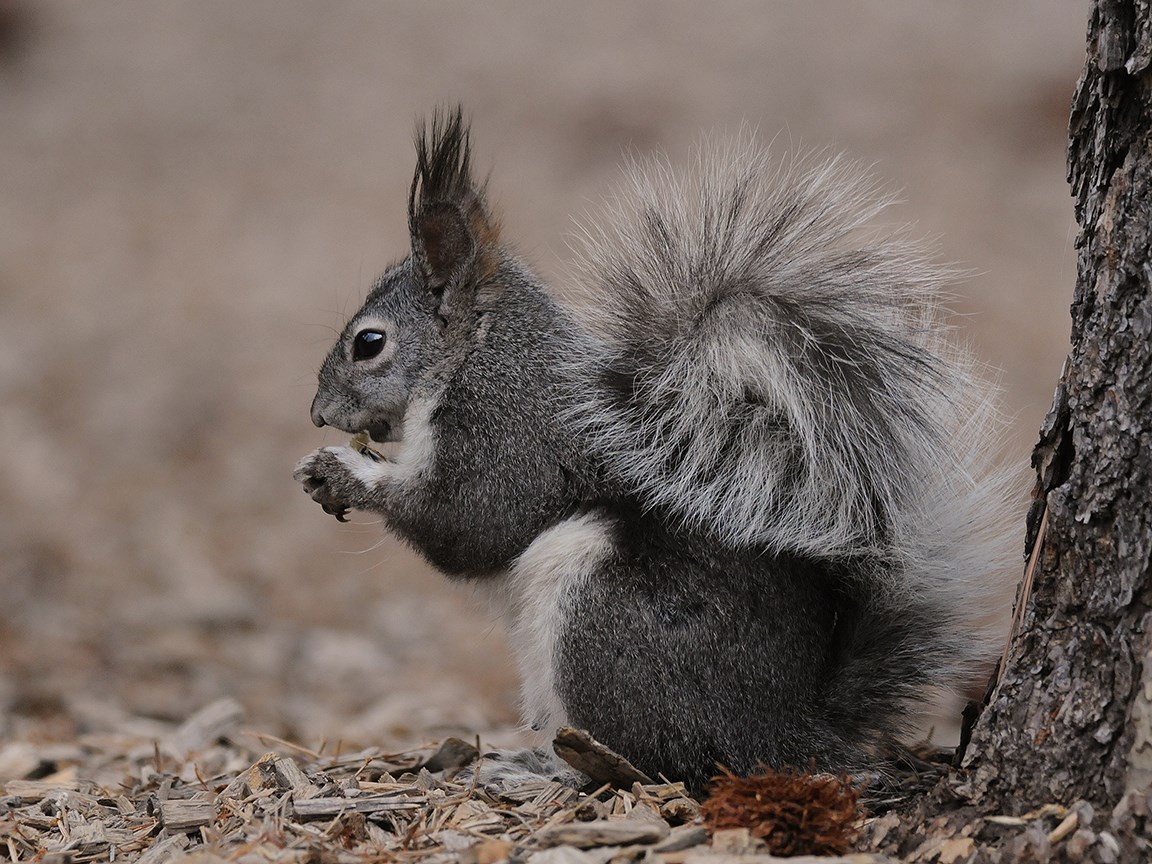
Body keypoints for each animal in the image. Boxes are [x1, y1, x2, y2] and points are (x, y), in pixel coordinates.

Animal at [294, 106, 1018, 792]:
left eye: (368, 343)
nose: (317, 413)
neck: (478, 355)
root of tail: (785, 725)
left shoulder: (508, 434)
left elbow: (470, 525)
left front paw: (346, 472)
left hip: (602, 615)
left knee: (658, 762)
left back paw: (546, 771)